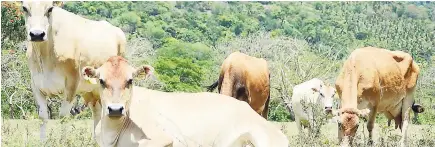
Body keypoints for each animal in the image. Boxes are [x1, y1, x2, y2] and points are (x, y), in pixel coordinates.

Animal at [21, 1, 127, 141]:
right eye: (24, 8)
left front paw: (62, 141)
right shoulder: (36, 84)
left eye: (50, 9)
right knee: (97, 112)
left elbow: (63, 117)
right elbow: (43, 116)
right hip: (90, 89)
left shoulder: (71, 83)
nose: (37, 34)